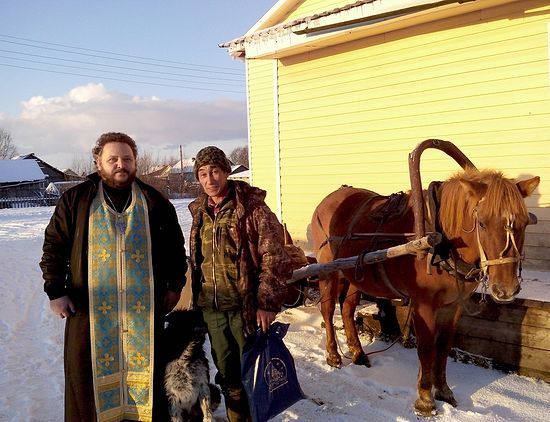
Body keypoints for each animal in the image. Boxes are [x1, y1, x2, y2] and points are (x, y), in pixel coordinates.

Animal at [312, 168, 540, 416]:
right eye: (481, 223)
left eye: (524, 223)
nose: (506, 289)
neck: (442, 243)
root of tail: (331, 197)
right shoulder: (424, 305)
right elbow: (426, 348)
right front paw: (424, 399)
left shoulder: (453, 306)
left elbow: (443, 347)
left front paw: (443, 391)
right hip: (328, 271)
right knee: (327, 310)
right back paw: (333, 355)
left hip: (356, 274)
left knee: (346, 309)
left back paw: (358, 353)